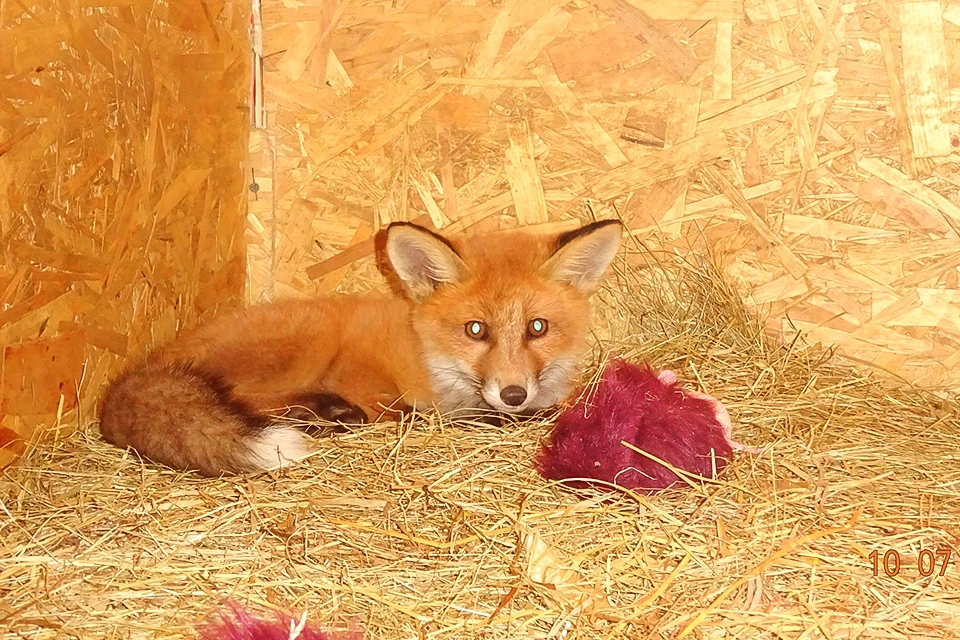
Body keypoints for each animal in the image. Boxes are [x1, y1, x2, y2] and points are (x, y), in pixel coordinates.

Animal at [97, 220, 624, 476]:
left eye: (537, 327)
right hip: (307, 342)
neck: (430, 358)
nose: (514, 394)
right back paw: (322, 416)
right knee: (245, 398)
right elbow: (422, 414)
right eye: (476, 330)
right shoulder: (370, 378)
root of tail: (147, 367)